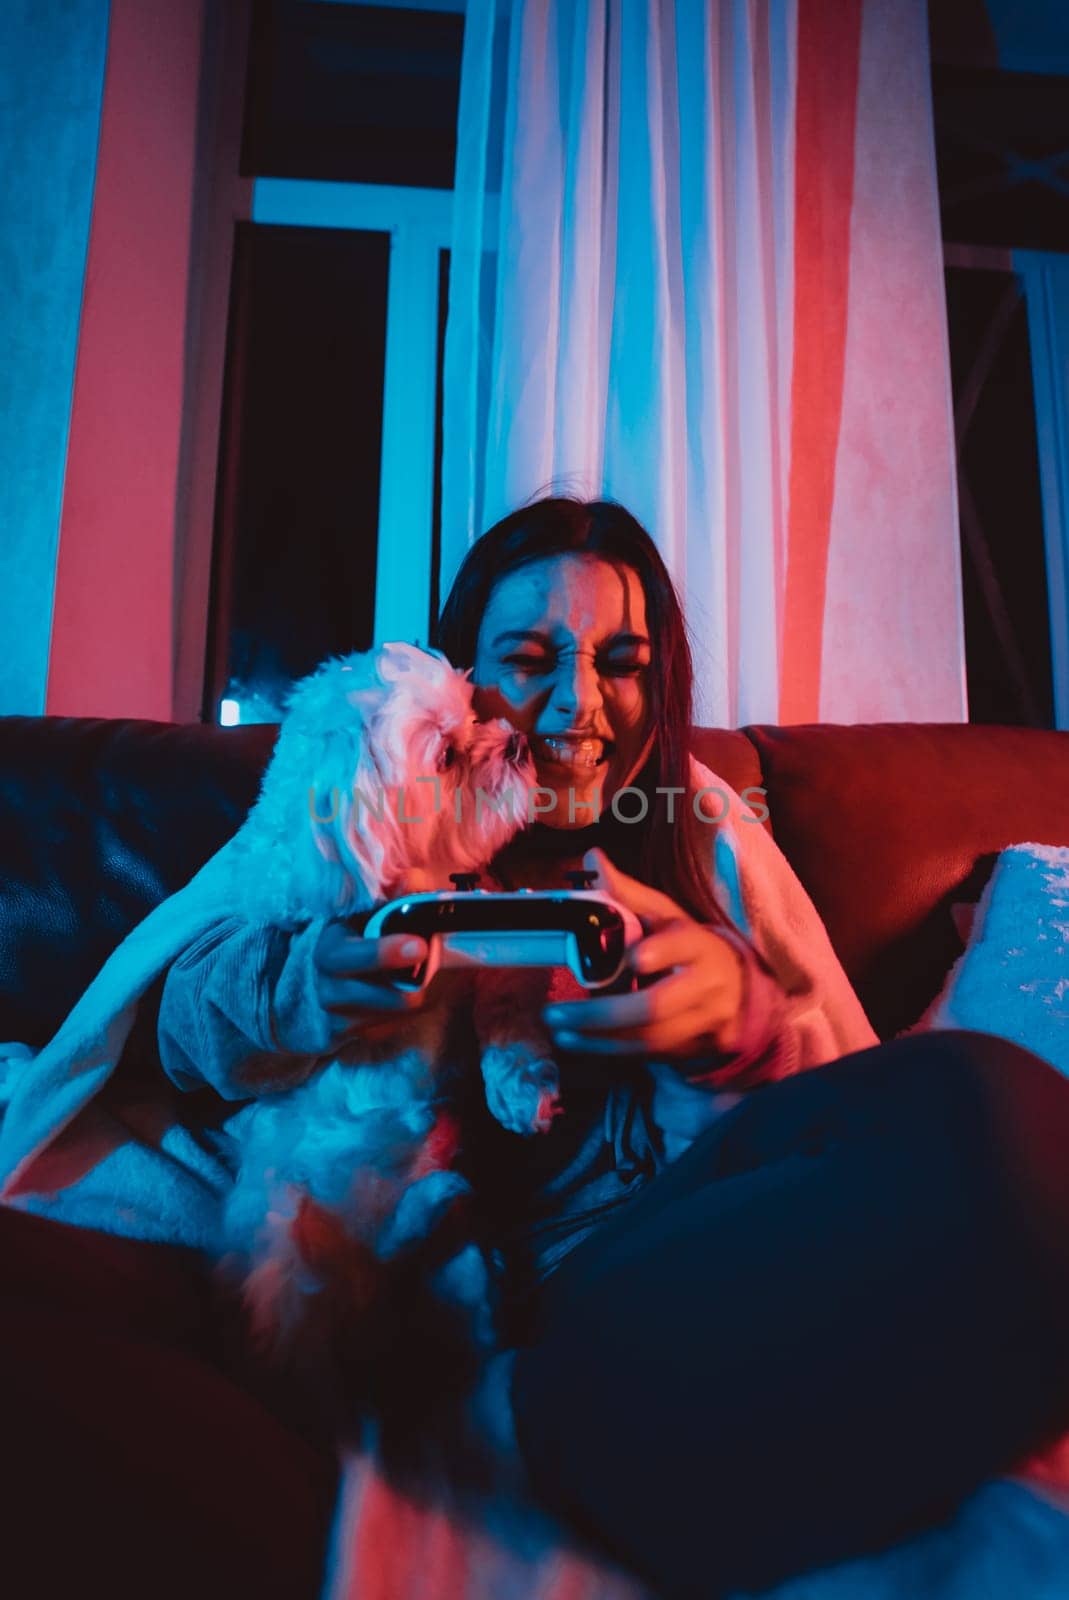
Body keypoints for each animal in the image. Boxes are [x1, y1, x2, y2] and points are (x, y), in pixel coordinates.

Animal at [222, 643, 563, 1395]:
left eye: (475, 713)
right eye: (447, 754)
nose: (518, 743)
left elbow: (506, 1000)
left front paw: (521, 1088)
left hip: (453, 1273)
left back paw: (441, 1210)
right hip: (282, 1255)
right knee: (312, 1352)